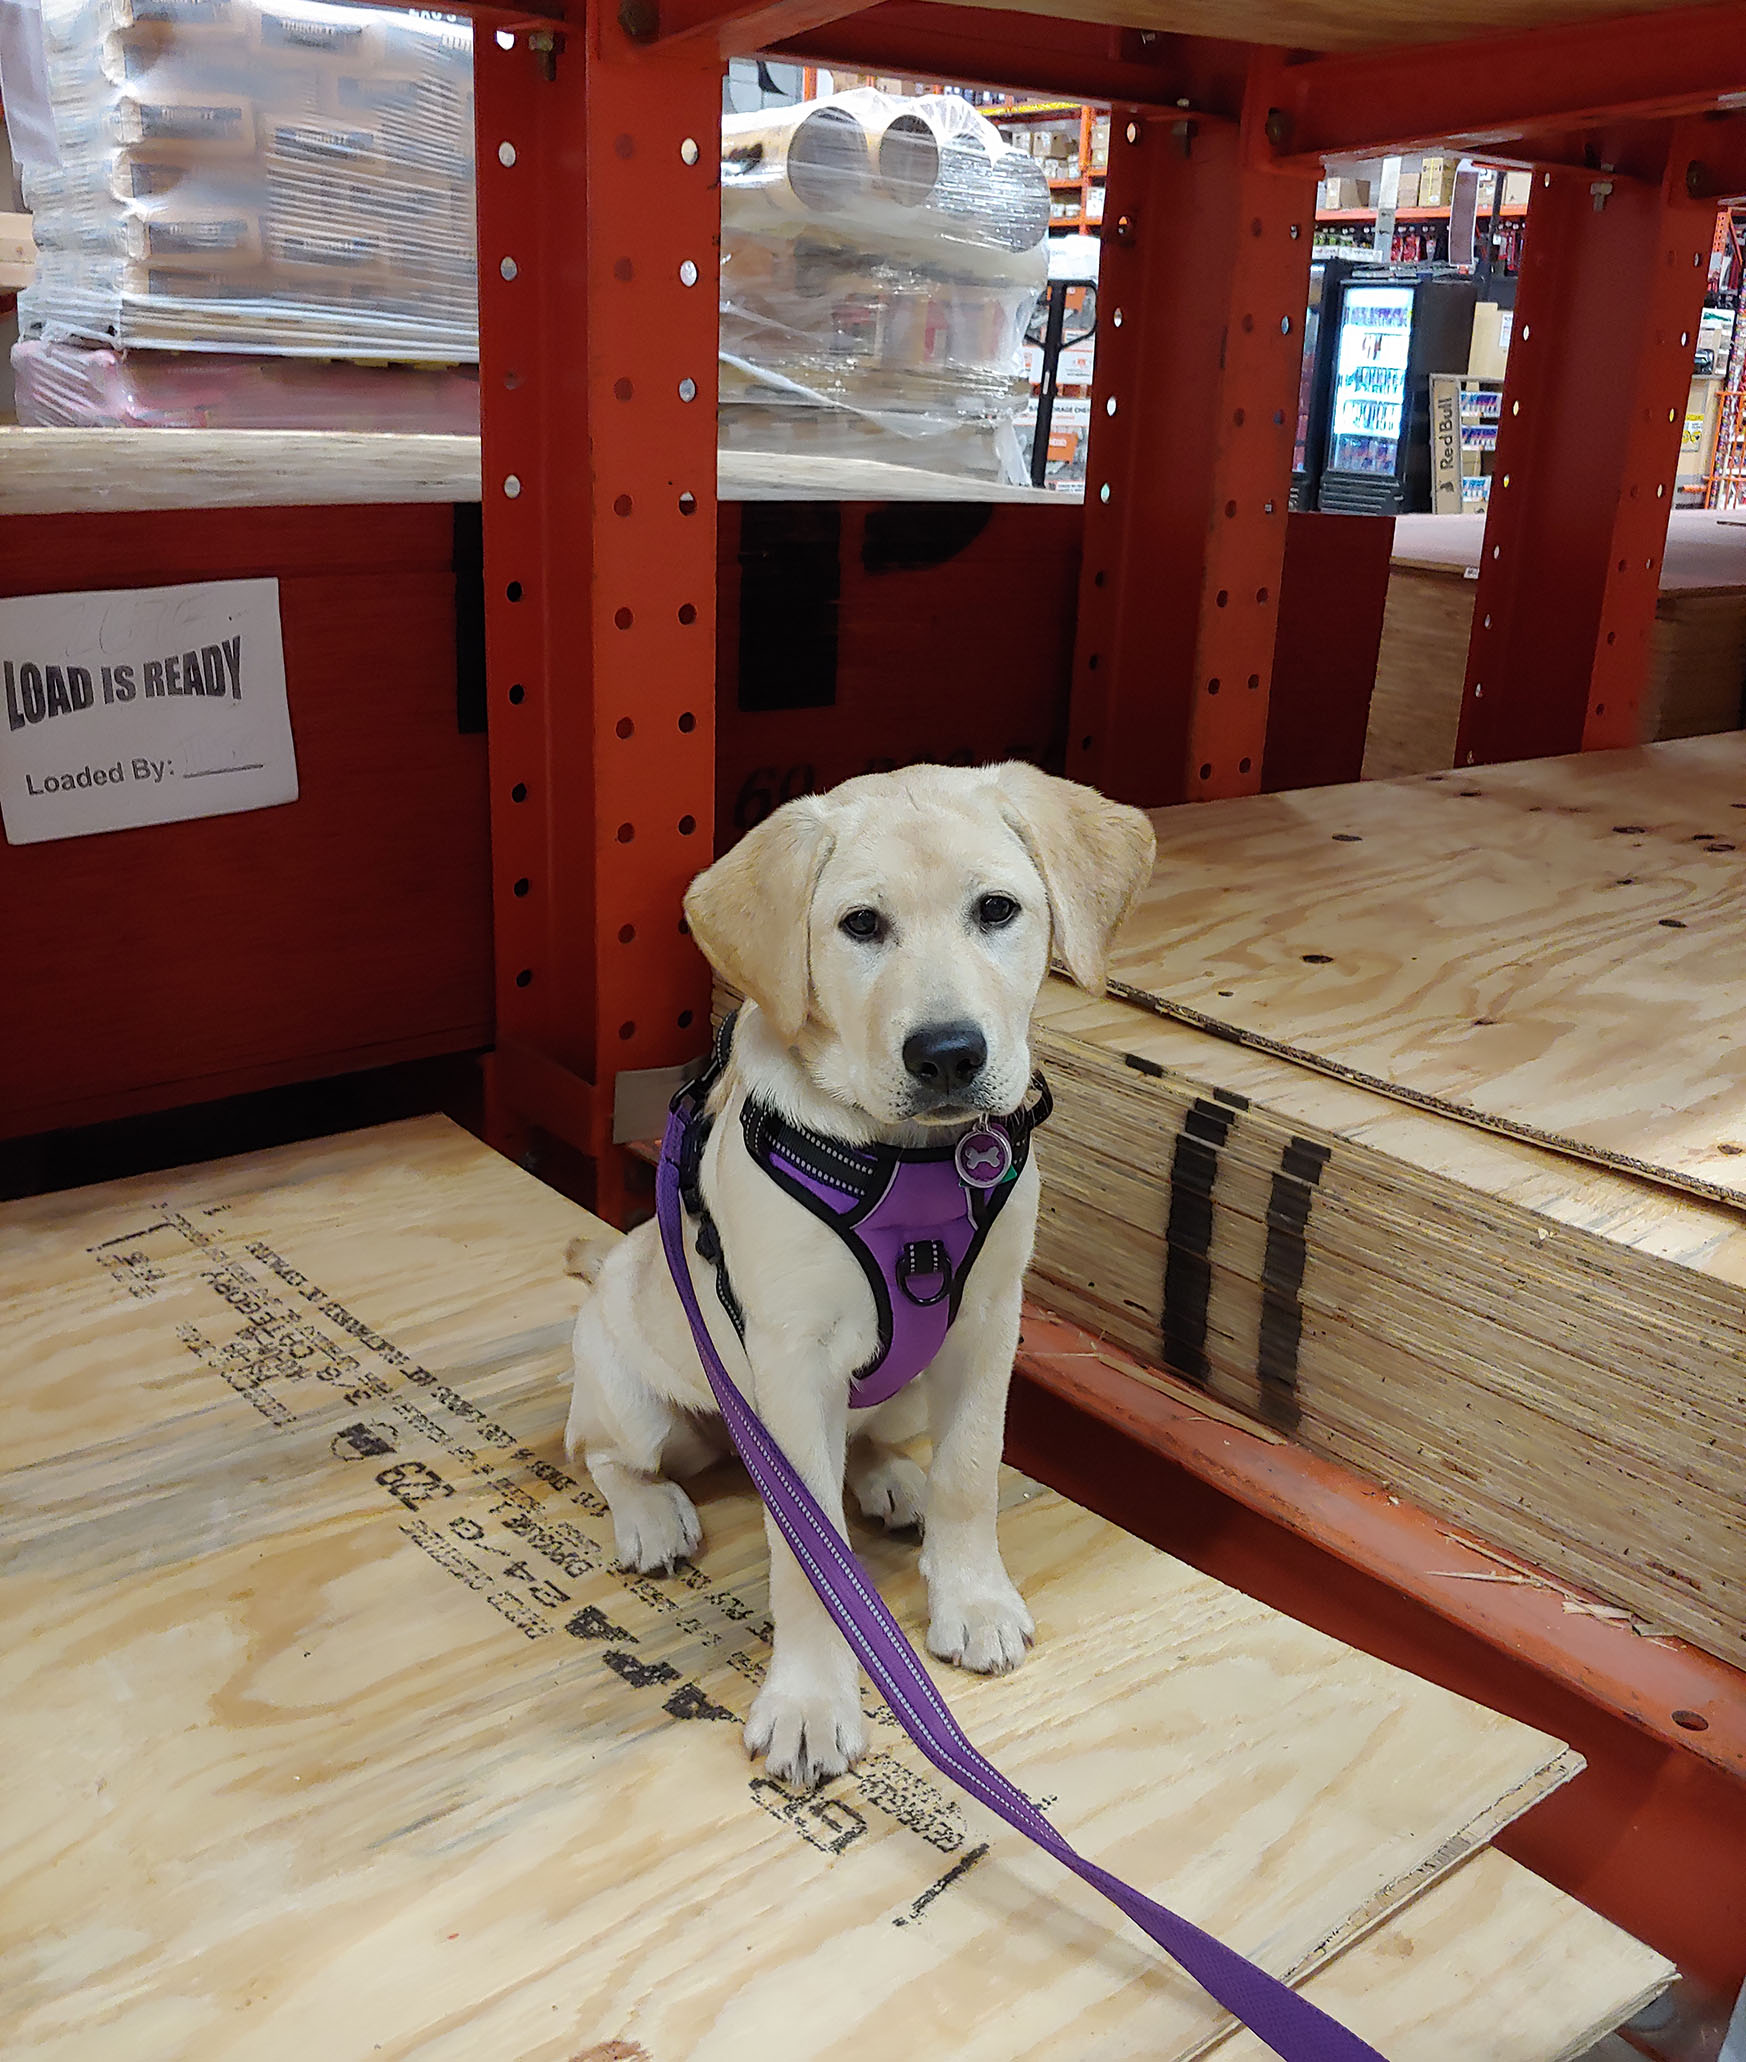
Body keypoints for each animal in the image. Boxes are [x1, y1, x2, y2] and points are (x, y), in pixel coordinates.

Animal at [564, 762, 1154, 1789]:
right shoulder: (791, 1363)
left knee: (876, 1441)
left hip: (908, 1382)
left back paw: (890, 1484)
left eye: (996, 910)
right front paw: (810, 1701)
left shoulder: (988, 1324)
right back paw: (650, 1515)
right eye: (861, 925)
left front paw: (972, 1599)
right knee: (603, 1452)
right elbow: (809, 1557)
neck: (907, 1163)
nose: (948, 1053)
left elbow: (970, 1472)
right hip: (630, 1390)